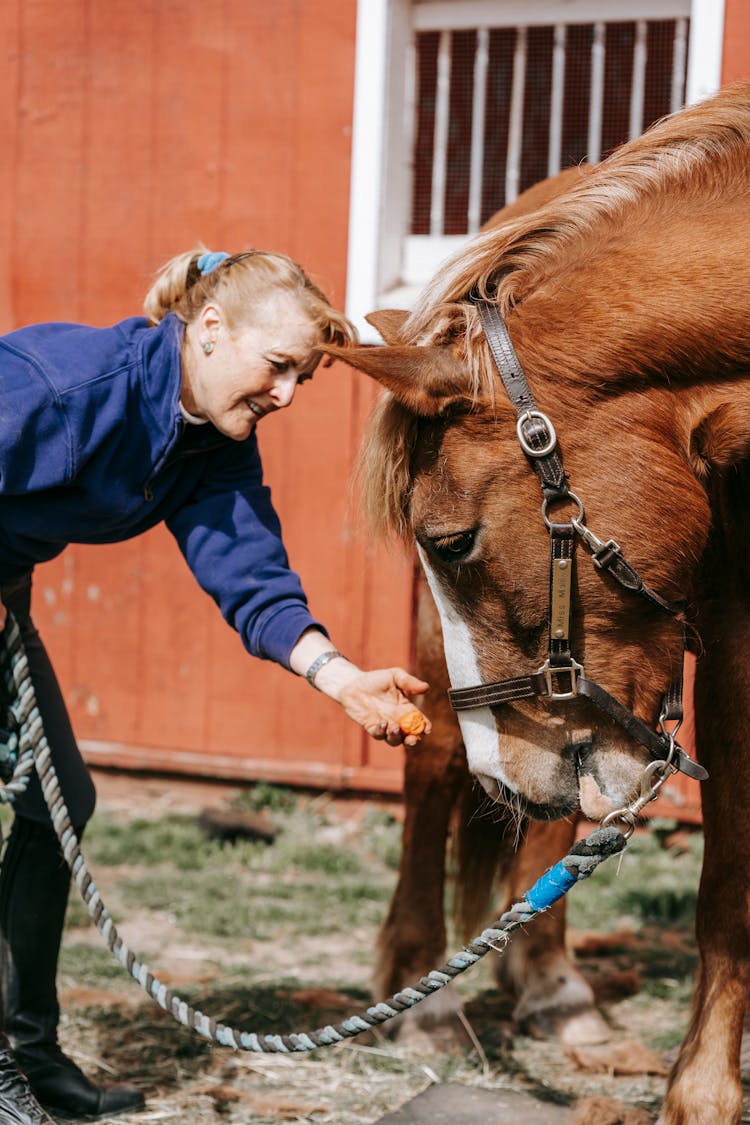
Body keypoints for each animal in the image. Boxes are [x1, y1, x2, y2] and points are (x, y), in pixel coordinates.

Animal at [332, 83, 750, 1120]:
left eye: (451, 539)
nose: (505, 772)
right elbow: (729, 870)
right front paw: (705, 1092)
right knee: (440, 763)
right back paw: (428, 994)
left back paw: (555, 989)